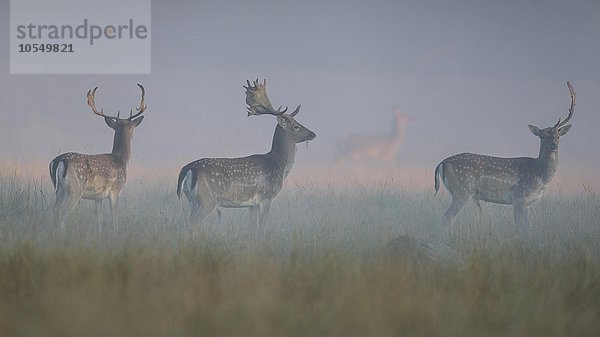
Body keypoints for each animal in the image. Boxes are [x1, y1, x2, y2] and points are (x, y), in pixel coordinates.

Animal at [49, 83, 146, 228]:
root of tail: (59, 161)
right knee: (62, 212)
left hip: (58, 189)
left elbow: (99, 220)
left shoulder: (98, 197)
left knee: (54, 209)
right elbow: (114, 218)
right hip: (75, 189)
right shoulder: (115, 191)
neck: (122, 160)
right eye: (132, 127)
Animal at [176, 79, 316, 231]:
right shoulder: (266, 197)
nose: (313, 134)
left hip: (193, 201)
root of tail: (187, 169)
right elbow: (262, 228)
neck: (278, 165)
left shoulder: (252, 205)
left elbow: (253, 228)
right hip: (207, 200)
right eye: (296, 126)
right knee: (191, 223)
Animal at [434, 81, 576, 226]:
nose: (553, 145)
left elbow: (527, 226)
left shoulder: (528, 203)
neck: (540, 175)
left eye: (558, 136)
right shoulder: (518, 196)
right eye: (542, 136)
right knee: (447, 217)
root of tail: (441, 163)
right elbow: (518, 224)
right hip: (462, 189)